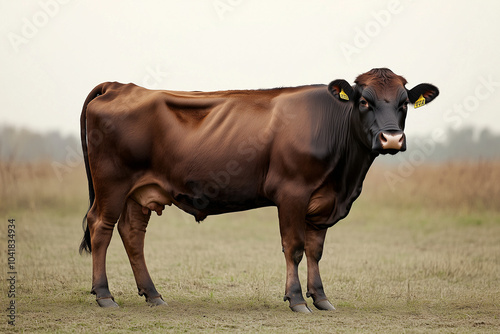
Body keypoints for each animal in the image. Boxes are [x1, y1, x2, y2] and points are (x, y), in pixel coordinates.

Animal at [78, 68, 438, 314]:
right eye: (364, 101)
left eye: (405, 104)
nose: (391, 139)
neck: (345, 179)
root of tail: (120, 86)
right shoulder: (292, 192)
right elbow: (294, 247)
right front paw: (297, 300)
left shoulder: (323, 202)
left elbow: (315, 250)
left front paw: (321, 298)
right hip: (112, 184)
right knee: (101, 227)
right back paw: (104, 295)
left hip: (140, 192)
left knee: (132, 233)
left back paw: (153, 295)